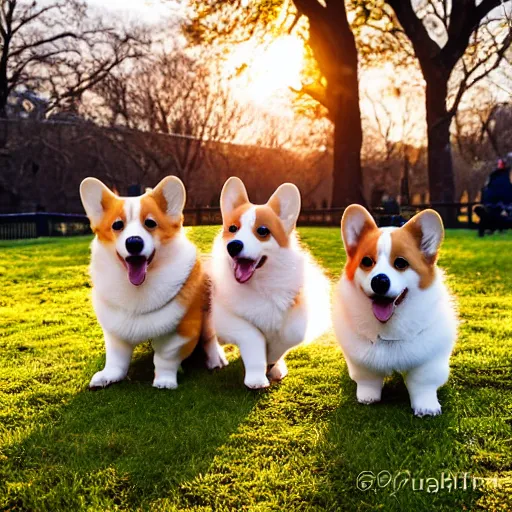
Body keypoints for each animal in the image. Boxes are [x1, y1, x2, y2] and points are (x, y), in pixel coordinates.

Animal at [79, 176, 227, 388]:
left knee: (210, 338)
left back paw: (216, 359)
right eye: (117, 225)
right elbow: (116, 360)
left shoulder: (182, 332)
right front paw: (108, 376)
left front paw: (164, 381)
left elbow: (165, 358)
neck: (138, 289)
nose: (134, 242)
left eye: (150, 222)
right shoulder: (115, 332)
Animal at [210, 176, 330, 388]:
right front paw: (257, 377)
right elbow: (253, 335)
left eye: (263, 230)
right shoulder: (224, 316)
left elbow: (286, 337)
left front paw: (273, 363)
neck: (261, 284)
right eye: (232, 229)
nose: (233, 246)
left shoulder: (300, 317)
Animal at [334, 206, 458, 418]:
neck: (387, 328)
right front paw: (368, 397)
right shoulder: (362, 361)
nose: (379, 281)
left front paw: (427, 407)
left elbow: (422, 384)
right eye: (366, 261)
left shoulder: (428, 361)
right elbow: (368, 381)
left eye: (401, 263)